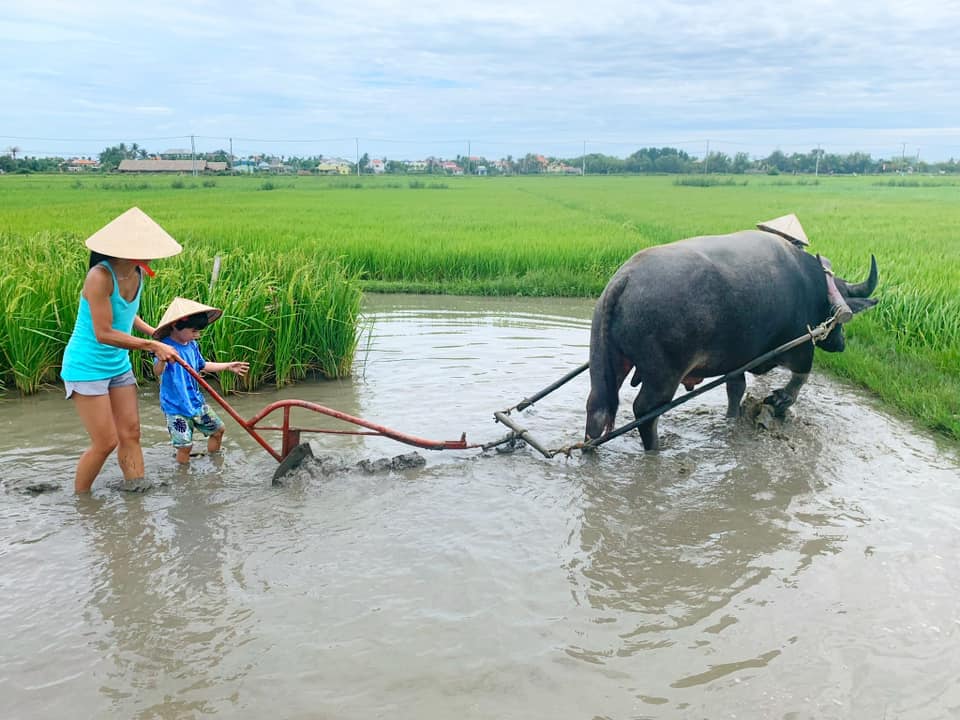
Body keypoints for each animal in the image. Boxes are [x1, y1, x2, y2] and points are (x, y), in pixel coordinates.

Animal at [580, 228, 880, 448]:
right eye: (842, 309)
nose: (840, 343)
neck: (813, 286)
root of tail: (624, 280)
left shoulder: (738, 360)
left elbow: (735, 390)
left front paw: (732, 419)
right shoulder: (801, 345)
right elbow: (799, 379)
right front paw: (780, 401)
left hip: (606, 358)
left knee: (598, 408)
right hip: (663, 376)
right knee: (645, 411)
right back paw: (655, 449)